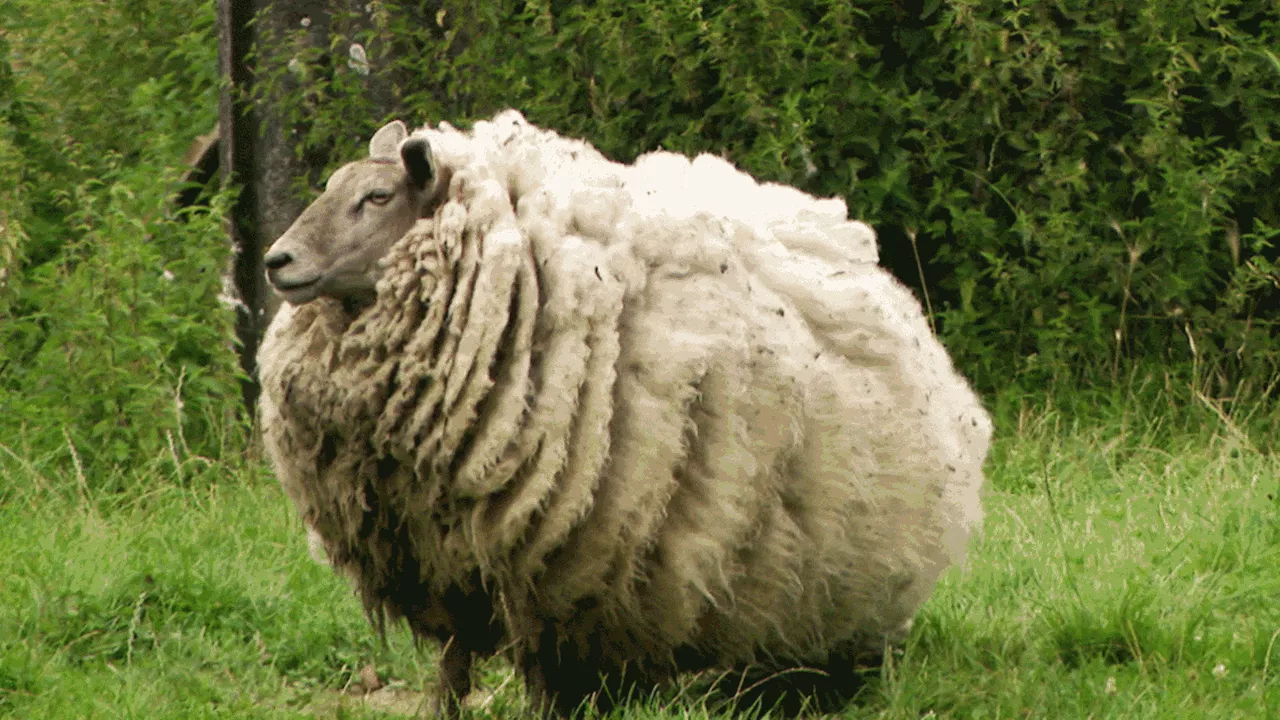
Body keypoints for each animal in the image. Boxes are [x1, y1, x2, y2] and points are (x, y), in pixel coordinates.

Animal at [254, 109, 993, 712]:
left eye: (376, 197)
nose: (275, 260)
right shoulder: (438, 558)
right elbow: (450, 670)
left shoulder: (547, 570)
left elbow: (547, 674)